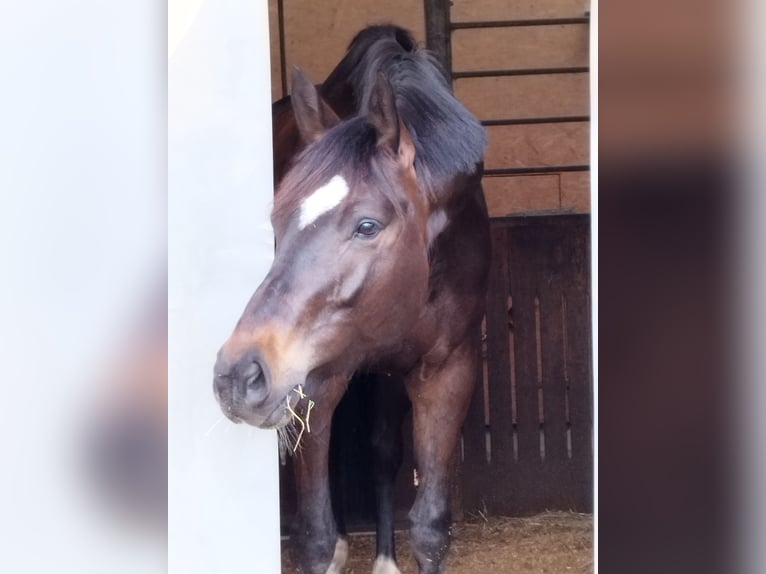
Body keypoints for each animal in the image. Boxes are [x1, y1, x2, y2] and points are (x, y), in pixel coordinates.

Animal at [213, 25, 492, 574]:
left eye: (367, 225)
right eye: (276, 222)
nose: (238, 375)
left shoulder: (449, 371)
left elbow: (430, 528)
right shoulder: (318, 381)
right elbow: (315, 536)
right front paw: (334, 543)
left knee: (381, 450)